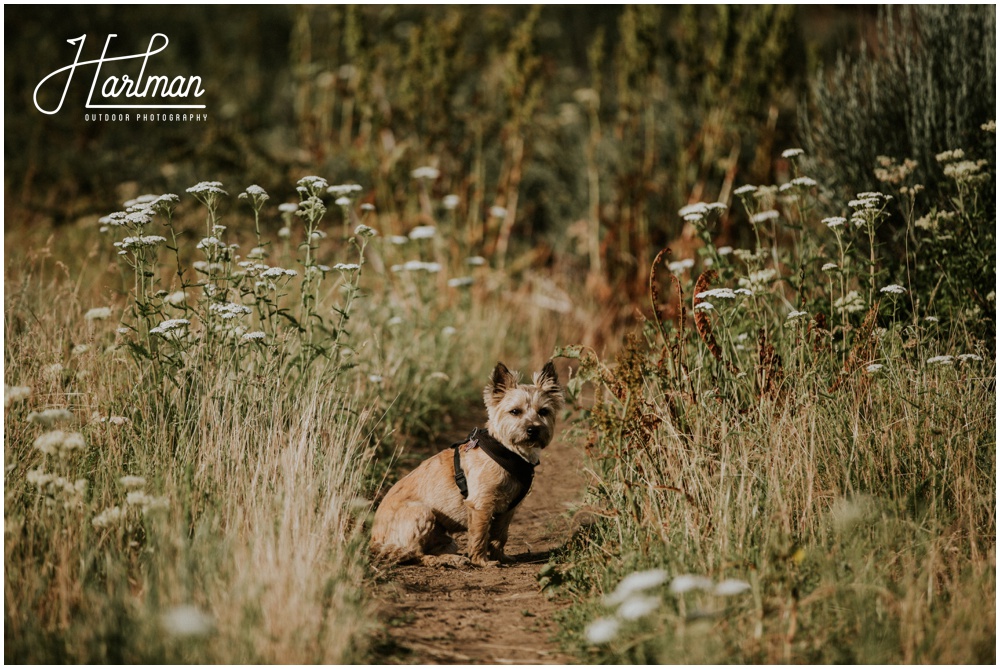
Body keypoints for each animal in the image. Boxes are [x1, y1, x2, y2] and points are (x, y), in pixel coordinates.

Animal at [374, 358, 564, 568]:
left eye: (543, 411)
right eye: (515, 412)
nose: (533, 429)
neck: (509, 451)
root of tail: (374, 539)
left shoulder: (508, 511)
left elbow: (500, 536)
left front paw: (500, 557)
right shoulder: (481, 505)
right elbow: (480, 535)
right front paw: (482, 561)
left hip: (447, 539)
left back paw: (451, 558)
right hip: (422, 513)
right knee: (414, 553)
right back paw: (443, 560)